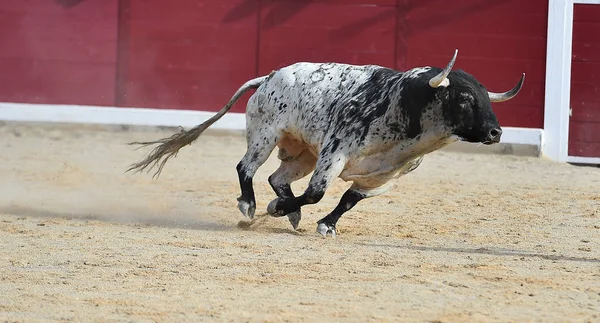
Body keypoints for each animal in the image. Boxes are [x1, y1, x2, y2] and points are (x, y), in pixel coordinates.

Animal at [129, 50, 524, 238]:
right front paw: (276, 209)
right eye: (464, 99)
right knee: (247, 168)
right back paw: (252, 205)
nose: (495, 133)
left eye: (485, 98)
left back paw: (290, 212)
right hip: (265, 135)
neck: (405, 108)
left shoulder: (384, 177)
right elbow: (318, 192)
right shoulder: (335, 153)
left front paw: (325, 225)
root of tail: (269, 76)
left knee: (277, 177)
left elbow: (348, 200)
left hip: (303, 153)